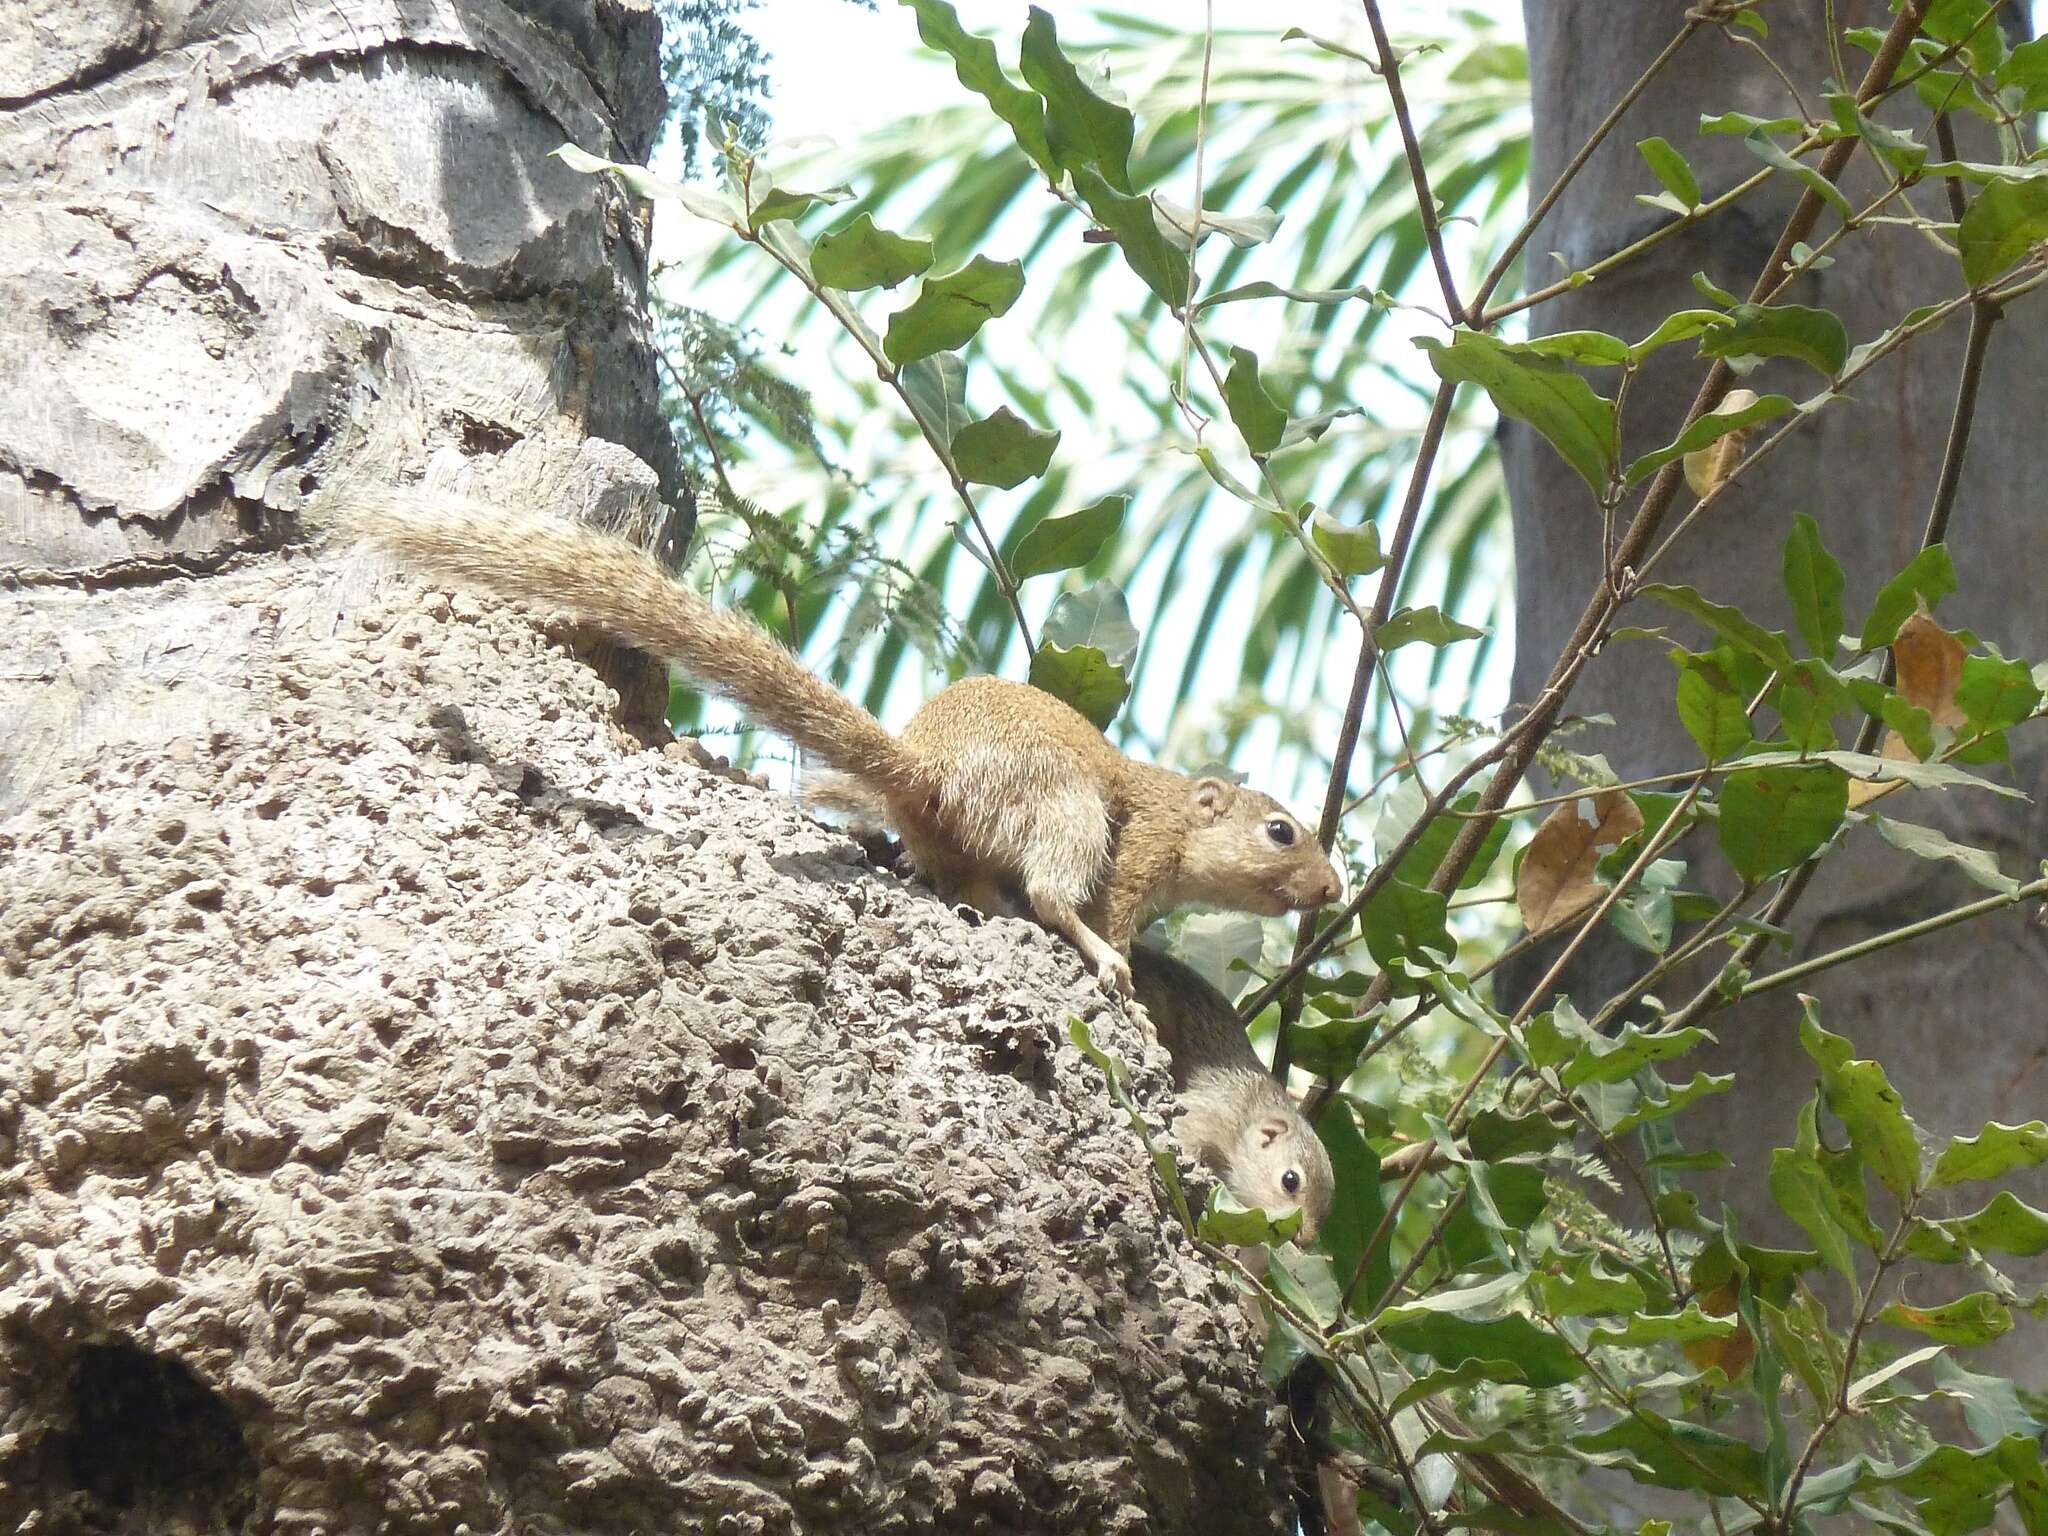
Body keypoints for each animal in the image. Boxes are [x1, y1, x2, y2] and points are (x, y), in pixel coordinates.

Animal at [346, 493, 1343, 999]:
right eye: (1281, 831)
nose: (1333, 890)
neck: (1176, 811)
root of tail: (928, 772)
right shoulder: (1135, 858)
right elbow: (1110, 910)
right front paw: (1125, 971)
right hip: (1065, 809)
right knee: (1050, 894)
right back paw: (1087, 954)